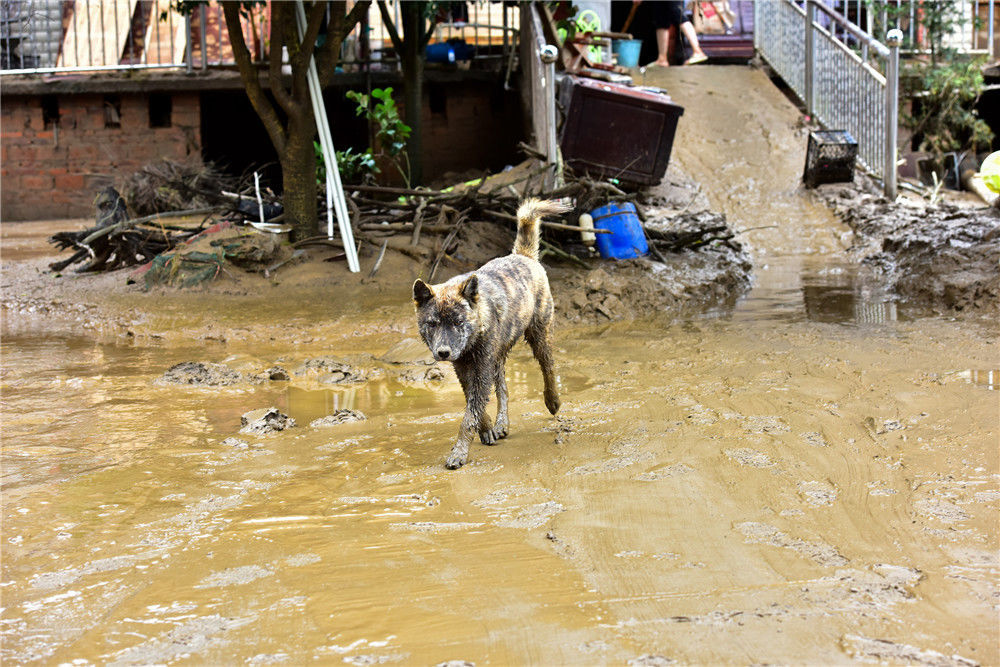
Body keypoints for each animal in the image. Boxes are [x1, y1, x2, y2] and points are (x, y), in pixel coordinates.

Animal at [412, 198, 570, 469]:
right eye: (432, 323)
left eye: (458, 322)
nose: (443, 353)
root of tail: (523, 256)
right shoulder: (465, 369)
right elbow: (475, 405)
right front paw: (486, 429)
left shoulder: (481, 368)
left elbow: (469, 416)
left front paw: (459, 453)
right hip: (498, 357)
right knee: (504, 389)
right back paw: (502, 424)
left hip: (538, 336)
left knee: (548, 367)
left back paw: (553, 401)